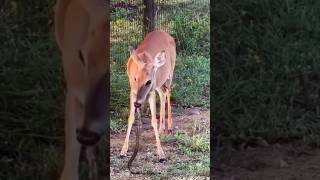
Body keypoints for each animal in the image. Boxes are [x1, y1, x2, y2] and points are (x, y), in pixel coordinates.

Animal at [119, 31, 176, 162]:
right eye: (135, 78)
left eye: (148, 81)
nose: (137, 103)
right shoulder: (133, 91)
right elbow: (131, 118)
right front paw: (123, 150)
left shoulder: (150, 91)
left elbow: (153, 120)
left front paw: (161, 153)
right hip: (159, 83)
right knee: (163, 93)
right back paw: (162, 128)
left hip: (170, 74)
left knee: (168, 92)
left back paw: (169, 126)